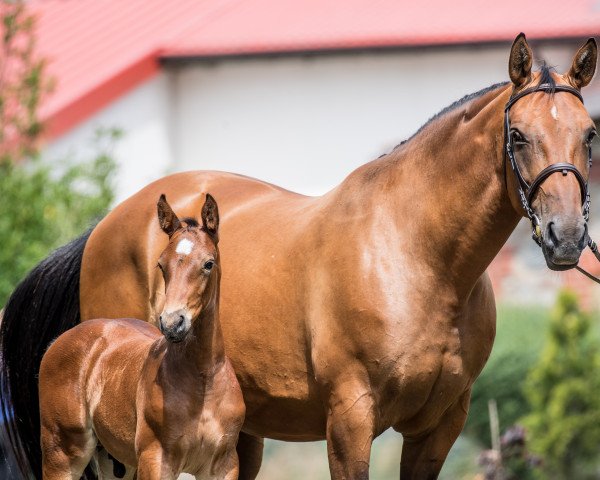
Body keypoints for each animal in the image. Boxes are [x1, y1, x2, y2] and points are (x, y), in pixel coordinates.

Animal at [38, 194, 244, 480]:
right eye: (161, 264)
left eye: (208, 264)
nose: (172, 323)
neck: (204, 382)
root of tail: (56, 343)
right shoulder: (156, 460)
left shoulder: (224, 465)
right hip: (61, 454)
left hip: (114, 461)